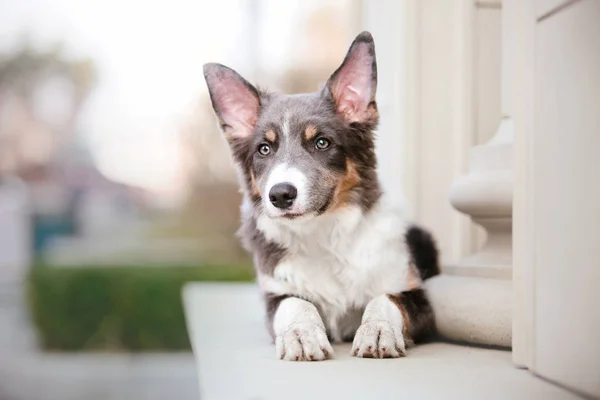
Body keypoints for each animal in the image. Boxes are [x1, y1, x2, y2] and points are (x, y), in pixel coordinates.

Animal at [204, 32, 438, 362]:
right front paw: (300, 334)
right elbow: (296, 303)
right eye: (264, 149)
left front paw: (378, 329)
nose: (281, 195)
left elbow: (387, 298)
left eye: (322, 143)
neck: (324, 234)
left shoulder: (419, 298)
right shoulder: (275, 295)